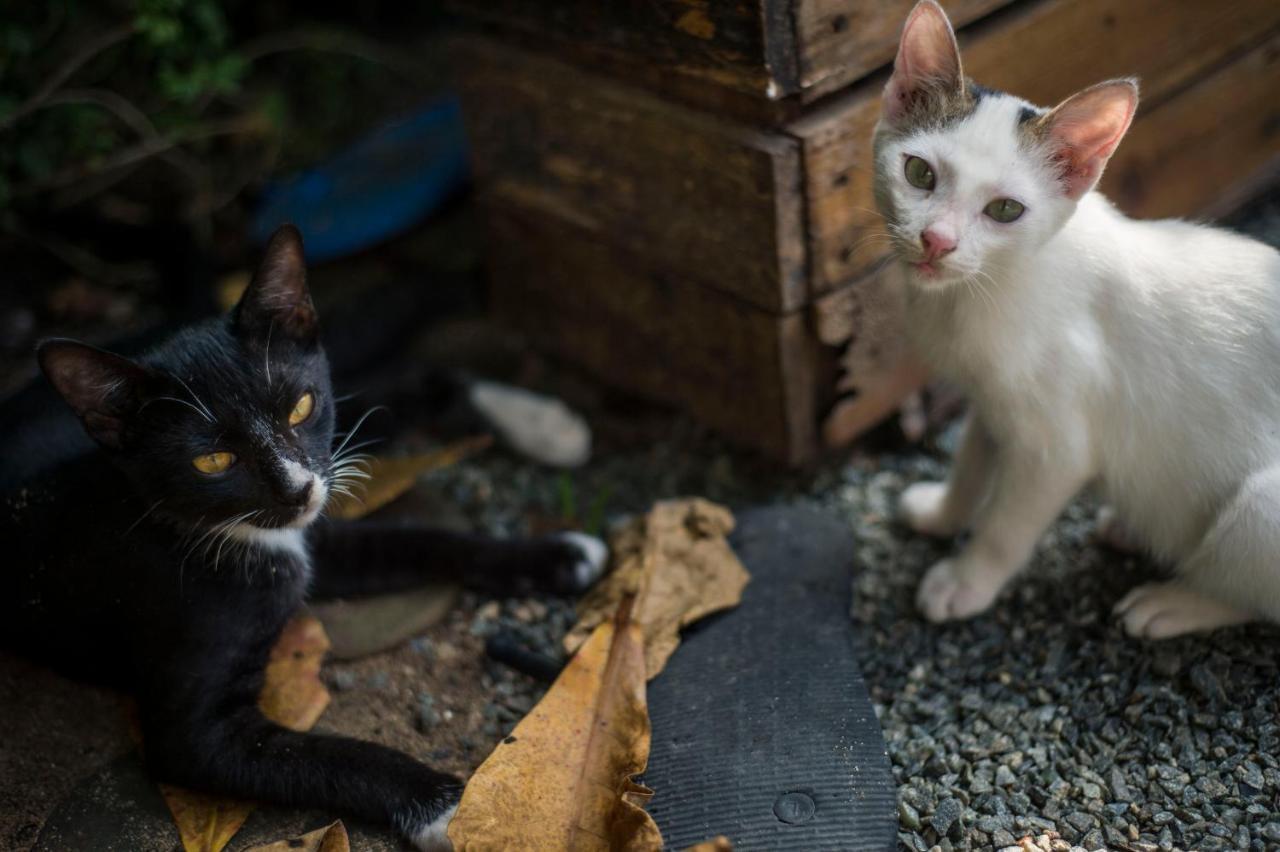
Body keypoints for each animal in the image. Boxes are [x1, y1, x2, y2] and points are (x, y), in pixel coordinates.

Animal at [0, 223, 606, 844]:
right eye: (212, 460)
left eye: (301, 407)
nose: (296, 490)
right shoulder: (197, 733)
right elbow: (330, 758)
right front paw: (459, 809)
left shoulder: (310, 526)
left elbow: (423, 538)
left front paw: (559, 555)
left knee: (391, 384)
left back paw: (544, 421)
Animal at [875, 0, 1280, 637]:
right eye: (919, 174)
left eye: (1005, 210)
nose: (937, 241)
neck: (982, 295)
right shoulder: (991, 403)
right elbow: (971, 465)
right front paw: (942, 512)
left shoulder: (1055, 446)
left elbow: (1005, 526)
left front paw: (965, 581)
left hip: (1264, 506)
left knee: (1252, 591)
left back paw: (1174, 601)